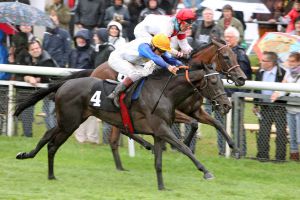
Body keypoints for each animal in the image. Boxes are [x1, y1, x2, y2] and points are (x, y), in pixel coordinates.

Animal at [15, 66, 229, 190]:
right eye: (213, 81)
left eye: (222, 80)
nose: (226, 104)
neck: (164, 93)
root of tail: (65, 83)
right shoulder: (162, 129)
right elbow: (185, 148)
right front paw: (206, 171)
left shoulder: (159, 133)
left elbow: (159, 162)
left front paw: (162, 187)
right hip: (69, 122)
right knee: (50, 140)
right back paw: (33, 160)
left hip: (72, 121)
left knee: (50, 141)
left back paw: (44, 170)